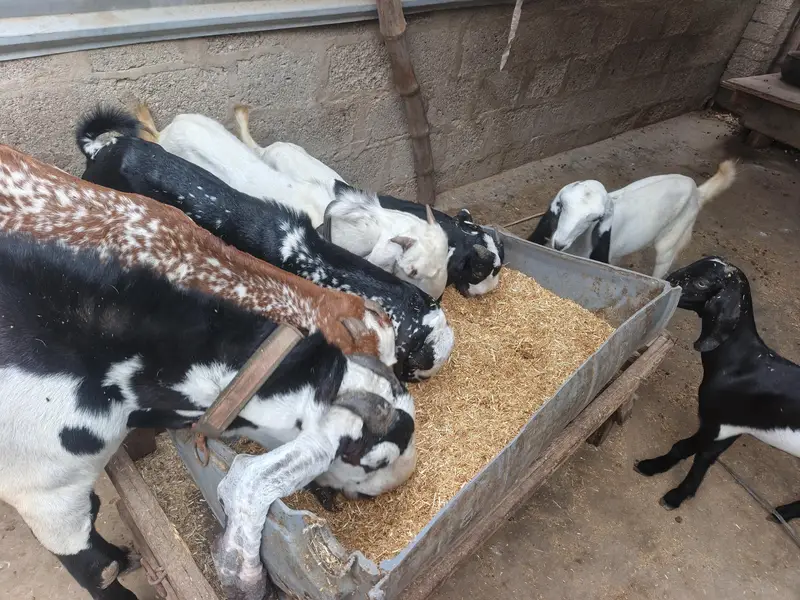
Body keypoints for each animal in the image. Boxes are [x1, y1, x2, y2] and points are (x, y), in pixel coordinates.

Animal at [635, 256, 800, 522]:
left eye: (702, 283)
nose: (667, 282)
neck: (740, 361)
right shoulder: (729, 428)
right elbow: (683, 446)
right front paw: (652, 466)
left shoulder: (722, 424)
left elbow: (701, 458)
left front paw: (676, 496)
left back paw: (783, 513)